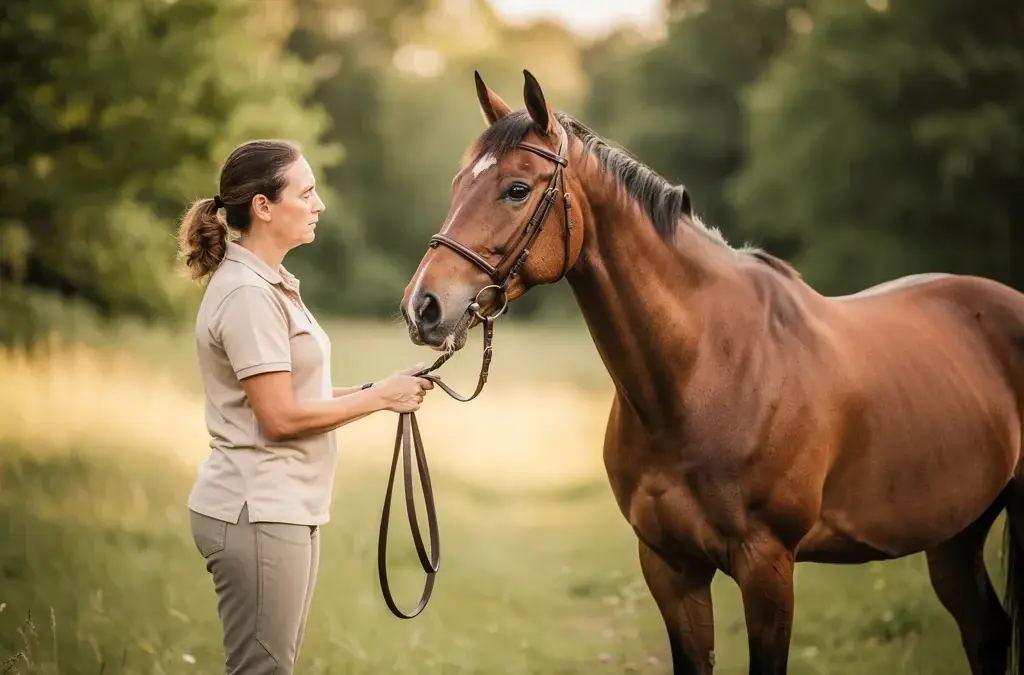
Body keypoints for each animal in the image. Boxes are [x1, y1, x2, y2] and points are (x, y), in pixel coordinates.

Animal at [398, 69, 1024, 675]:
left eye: (516, 190)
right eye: (458, 186)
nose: (422, 306)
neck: (705, 373)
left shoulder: (768, 567)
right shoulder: (670, 567)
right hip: (954, 532)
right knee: (986, 631)